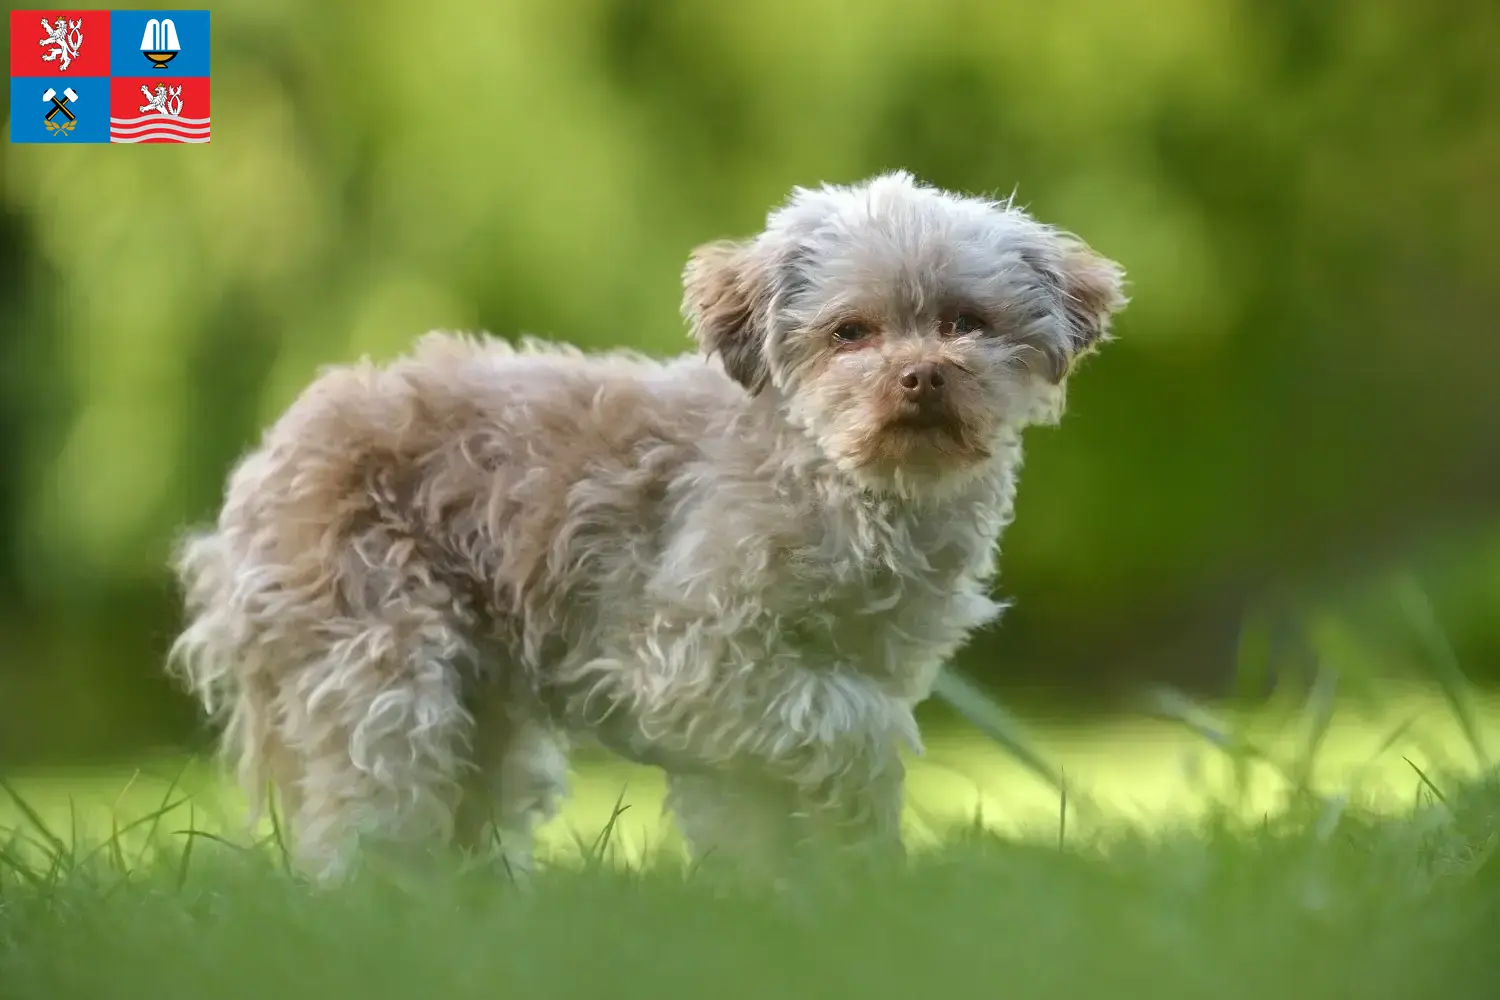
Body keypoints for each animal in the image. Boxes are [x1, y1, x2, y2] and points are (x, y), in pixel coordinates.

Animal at [167, 172, 1128, 881]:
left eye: (967, 322)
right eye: (851, 332)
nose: (923, 375)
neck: (844, 484)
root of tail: (267, 461)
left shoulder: (785, 694)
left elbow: (762, 803)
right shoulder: (690, 660)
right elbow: (859, 731)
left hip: (485, 713)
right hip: (385, 668)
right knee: (367, 817)